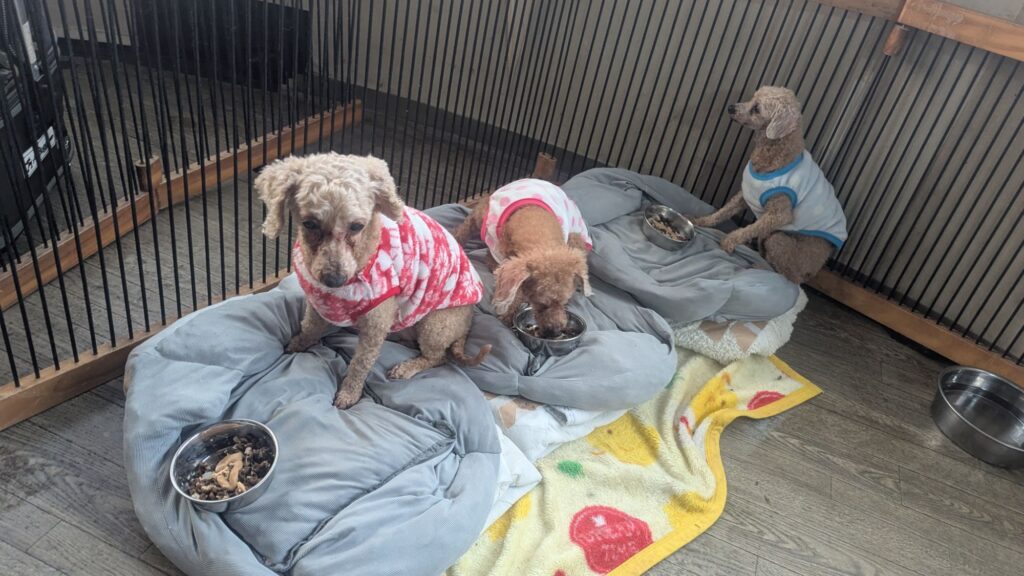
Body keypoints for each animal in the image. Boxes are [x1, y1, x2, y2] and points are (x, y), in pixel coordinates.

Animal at [256, 153, 491, 409]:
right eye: (309, 223)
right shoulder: (318, 301)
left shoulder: (376, 324)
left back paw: (407, 368)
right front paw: (299, 344)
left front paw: (349, 394)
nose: (334, 279)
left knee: (437, 358)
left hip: (436, 324)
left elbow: (360, 363)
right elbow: (309, 327)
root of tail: (467, 325)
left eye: (357, 226)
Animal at [692, 86, 847, 284]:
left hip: (778, 239)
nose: (730, 107)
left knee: (789, 277)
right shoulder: (745, 194)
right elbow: (723, 211)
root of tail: (816, 268)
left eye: (756, 108)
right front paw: (701, 221)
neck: (776, 153)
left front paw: (728, 242)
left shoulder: (779, 215)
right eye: (752, 98)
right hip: (768, 237)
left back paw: (761, 268)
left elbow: (748, 229)